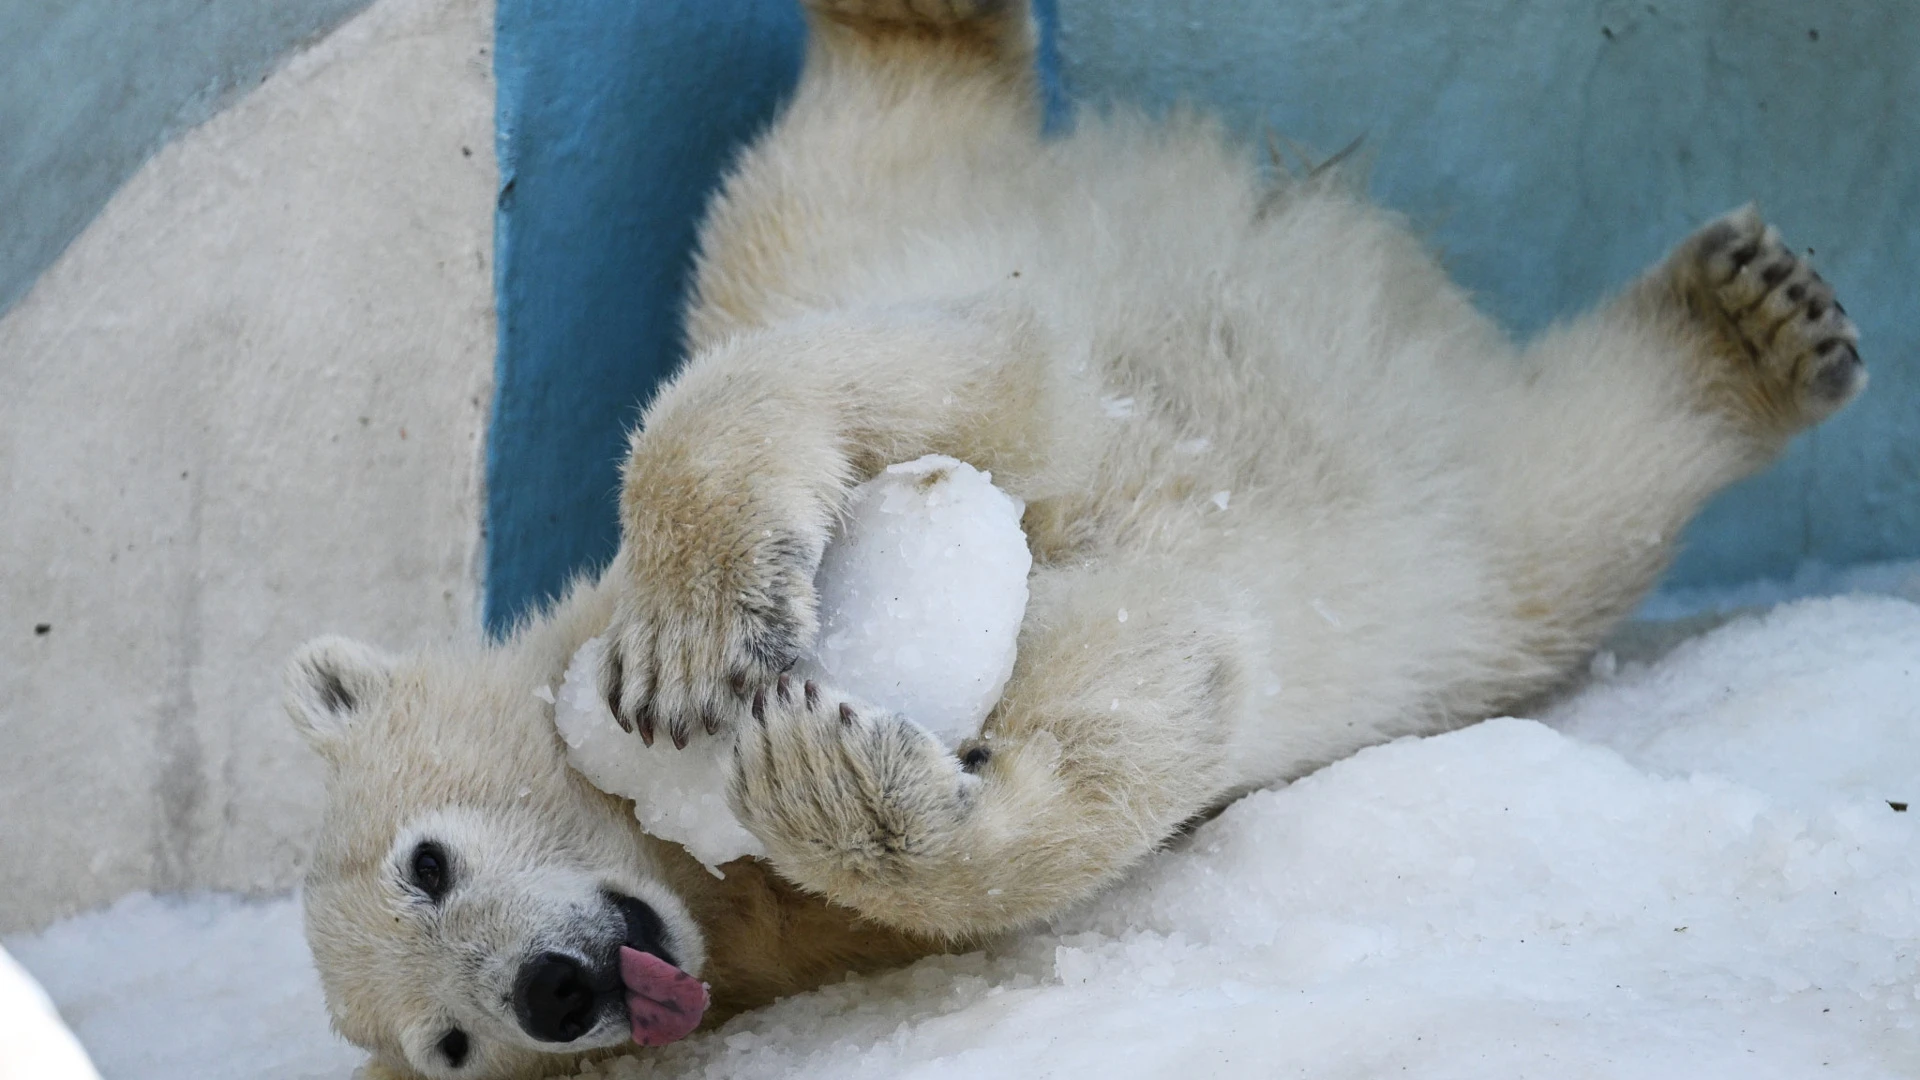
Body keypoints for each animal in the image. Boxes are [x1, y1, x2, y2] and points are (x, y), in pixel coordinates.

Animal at [284, 2, 1858, 1076]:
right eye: (450, 1046)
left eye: (427, 863)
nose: (553, 989)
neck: (678, 852)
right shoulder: (831, 926)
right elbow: (1149, 708)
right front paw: (838, 778)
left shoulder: (954, 360)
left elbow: (972, 381)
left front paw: (696, 644)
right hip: (1473, 558)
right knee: (1587, 481)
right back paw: (1747, 326)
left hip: (837, 226)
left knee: (851, 148)